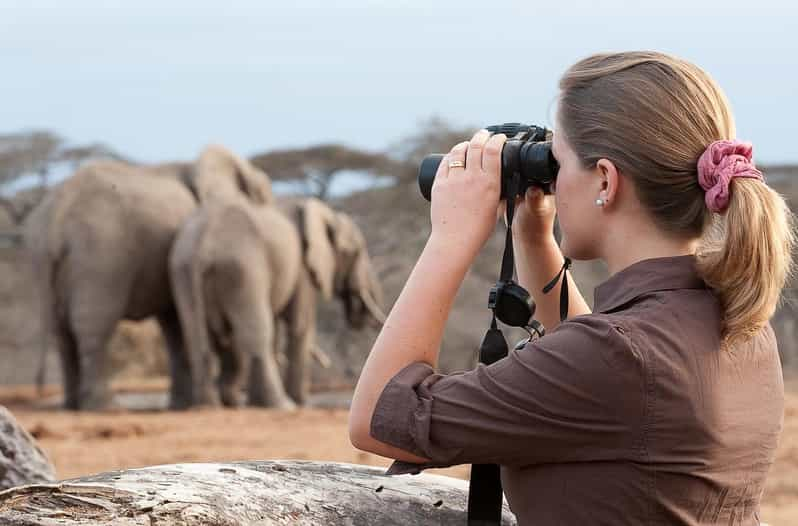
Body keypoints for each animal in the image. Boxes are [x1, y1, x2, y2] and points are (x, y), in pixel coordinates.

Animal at [23, 144, 274, 412]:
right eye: (261, 196)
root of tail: (56, 216)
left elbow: (175, 326)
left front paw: (181, 405)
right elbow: (184, 323)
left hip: (41, 255)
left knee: (61, 330)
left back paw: (73, 406)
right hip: (99, 254)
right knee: (93, 326)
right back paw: (106, 408)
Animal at [167, 196, 386, 410]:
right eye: (355, 253)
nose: (328, 364)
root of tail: (201, 247)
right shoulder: (302, 270)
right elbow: (299, 326)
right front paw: (302, 403)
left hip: (182, 272)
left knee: (198, 338)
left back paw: (211, 405)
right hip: (243, 269)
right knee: (254, 335)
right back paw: (281, 405)